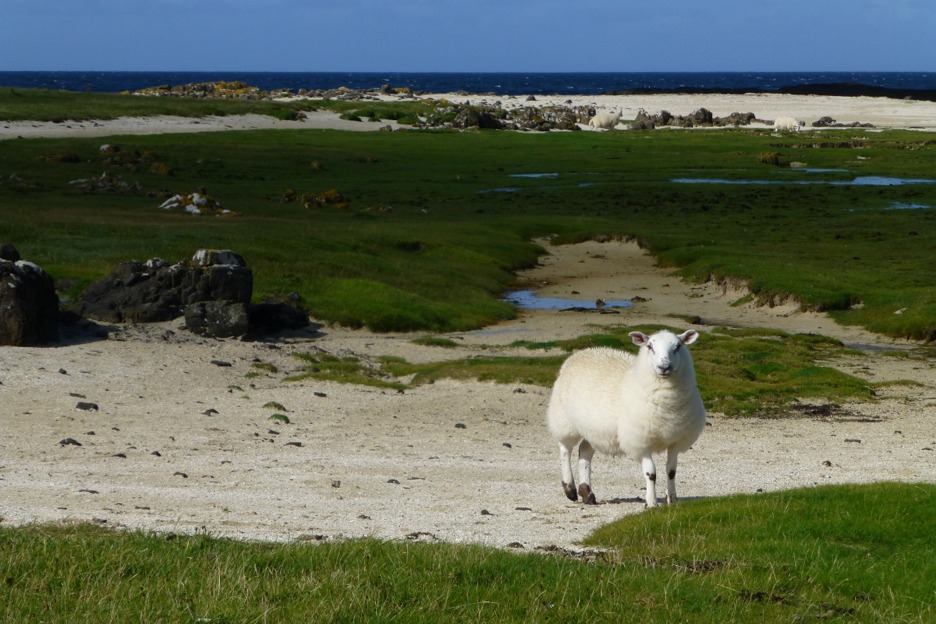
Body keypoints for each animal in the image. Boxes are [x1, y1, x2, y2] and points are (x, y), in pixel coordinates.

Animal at [544, 330, 704, 510]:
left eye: (678, 346)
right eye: (650, 346)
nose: (664, 367)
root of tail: (580, 353)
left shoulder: (676, 440)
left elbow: (671, 471)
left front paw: (672, 500)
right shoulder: (640, 440)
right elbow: (651, 473)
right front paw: (651, 503)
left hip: (595, 430)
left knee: (584, 451)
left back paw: (587, 493)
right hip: (564, 419)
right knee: (565, 449)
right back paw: (569, 489)